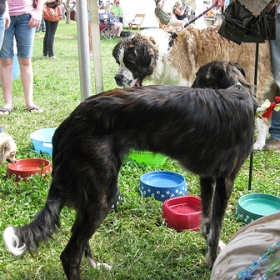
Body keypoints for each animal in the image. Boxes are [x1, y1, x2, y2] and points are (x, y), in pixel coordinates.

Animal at [3, 60, 258, 278]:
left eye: (199, 77)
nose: (190, 88)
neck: (238, 89)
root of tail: (69, 122)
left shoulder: (208, 177)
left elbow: (208, 222)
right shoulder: (226, 180)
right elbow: (216, 226)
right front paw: (212, 264)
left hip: (93, 193)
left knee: (80, 239)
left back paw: (96, 265)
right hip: (103, 195)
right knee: (69, 255)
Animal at [112, 27, 276, 151]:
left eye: (130, 62)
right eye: (118, 62)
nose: (117, 78)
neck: (164, 54)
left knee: (262, 117)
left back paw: (259, 143)